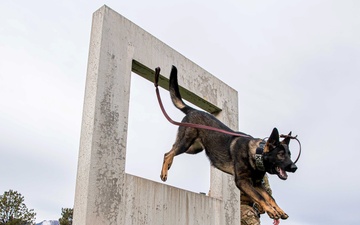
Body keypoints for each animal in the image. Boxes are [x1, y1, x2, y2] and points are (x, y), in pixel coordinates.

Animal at [160, 66, 298, 221]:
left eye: (289, 154)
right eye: (280, 154)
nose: (295, 167)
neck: (256, 153)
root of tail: (194, 110)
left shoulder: (257, 184)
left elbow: (270, 197)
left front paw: (278, 210)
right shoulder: (243, 182)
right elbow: (260, 197)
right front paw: (271, 210)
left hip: (194, 148)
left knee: (169, 150)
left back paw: (168, 165)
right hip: (186, 142)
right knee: (169, 153)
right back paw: (164, 172)